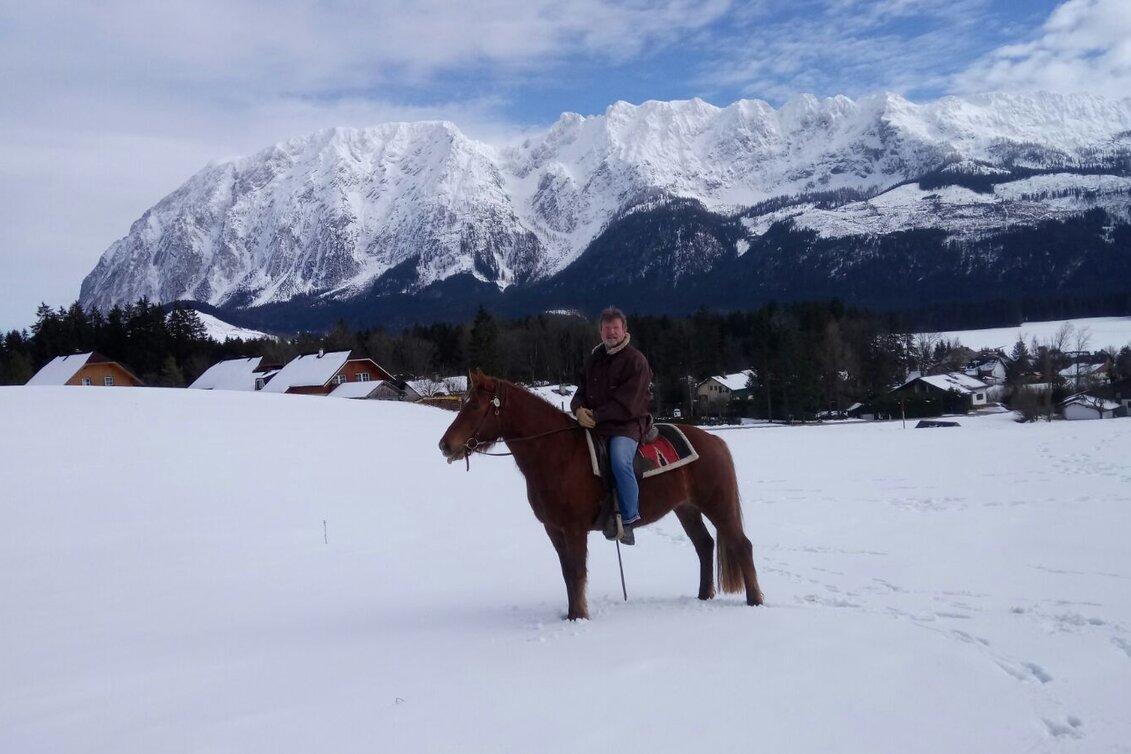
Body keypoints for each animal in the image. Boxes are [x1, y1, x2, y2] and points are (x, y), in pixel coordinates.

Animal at [437, 370, 764, 620]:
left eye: (475, 407)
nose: (445, 445)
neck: (558, 453)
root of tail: (715, 441)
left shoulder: (574, 529)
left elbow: (578, 571)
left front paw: (579, 617)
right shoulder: (554, 529)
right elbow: (567, 573)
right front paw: (571, 616)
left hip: (717, 505)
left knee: (742, 545)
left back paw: (755, 601)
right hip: (686, 508)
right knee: (705, 545)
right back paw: (703, 596)